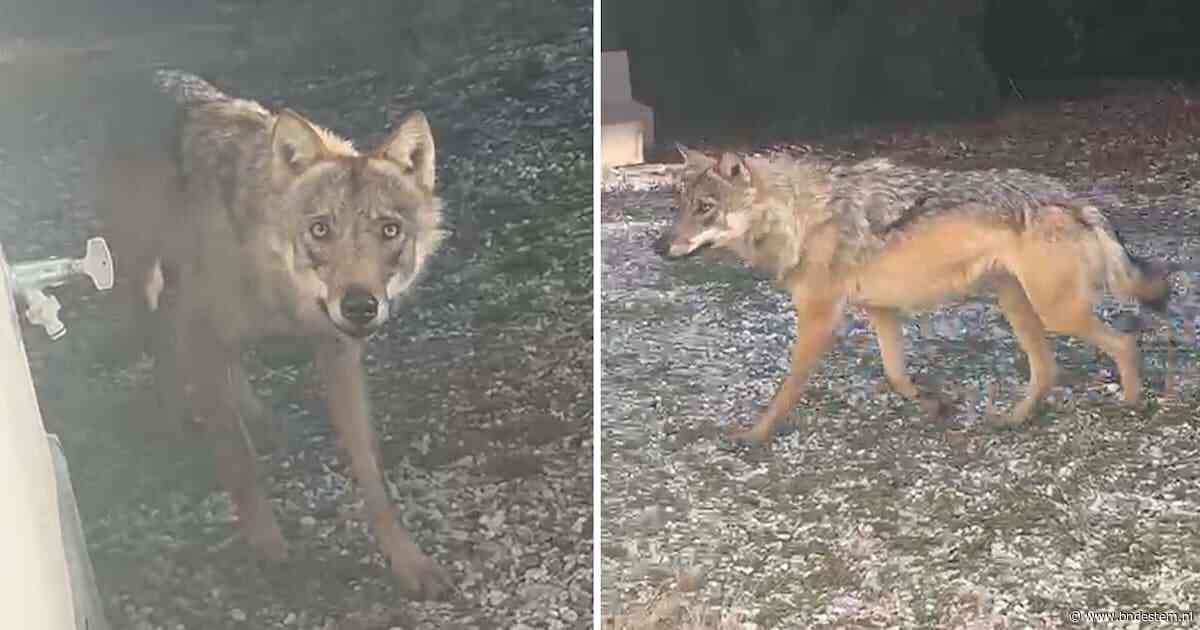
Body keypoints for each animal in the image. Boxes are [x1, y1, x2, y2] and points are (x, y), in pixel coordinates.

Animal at [96, 69, 450, 597]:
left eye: (389, 230)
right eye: (320, 229)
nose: (360, 306)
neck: (282, 293)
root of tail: (145, 73)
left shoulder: (337, 351)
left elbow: (371, 474)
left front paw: (409, 561)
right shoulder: (203, 332)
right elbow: (240, 461)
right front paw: (266, 546)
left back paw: (255, 417)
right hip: (141, 277)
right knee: (158, 342)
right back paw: (179, 426)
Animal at [656, 146, 1191, 446]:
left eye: (705, 208)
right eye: (680, 206)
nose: (658, 247)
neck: (800, 218)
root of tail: (1077, 199)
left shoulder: (819, 318)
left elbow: (785, 391)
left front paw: (754, 435)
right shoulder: (881, 312)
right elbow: (896, 374)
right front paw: (934, 403)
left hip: (1056, 312)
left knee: (1124, 343)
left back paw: (1131, 405)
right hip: (1018, 306)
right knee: (1047, 370)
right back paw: (1013, 420)